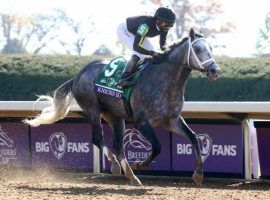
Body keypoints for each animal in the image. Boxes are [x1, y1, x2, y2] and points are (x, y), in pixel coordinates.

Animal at [24, 28, 220, 186]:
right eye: (198, 49)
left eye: (211, 49)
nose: (215, 70)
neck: (165, 81)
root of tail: (78, 75)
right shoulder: (142, 122)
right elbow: (157, 147)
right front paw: (139, 164)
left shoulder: (172, 120)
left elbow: (194, 138)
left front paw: (198, 174)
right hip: (92, 109)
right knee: (98, 139)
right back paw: (119, 166)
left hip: (115, 116)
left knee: (118, 145)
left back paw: (129, 175)